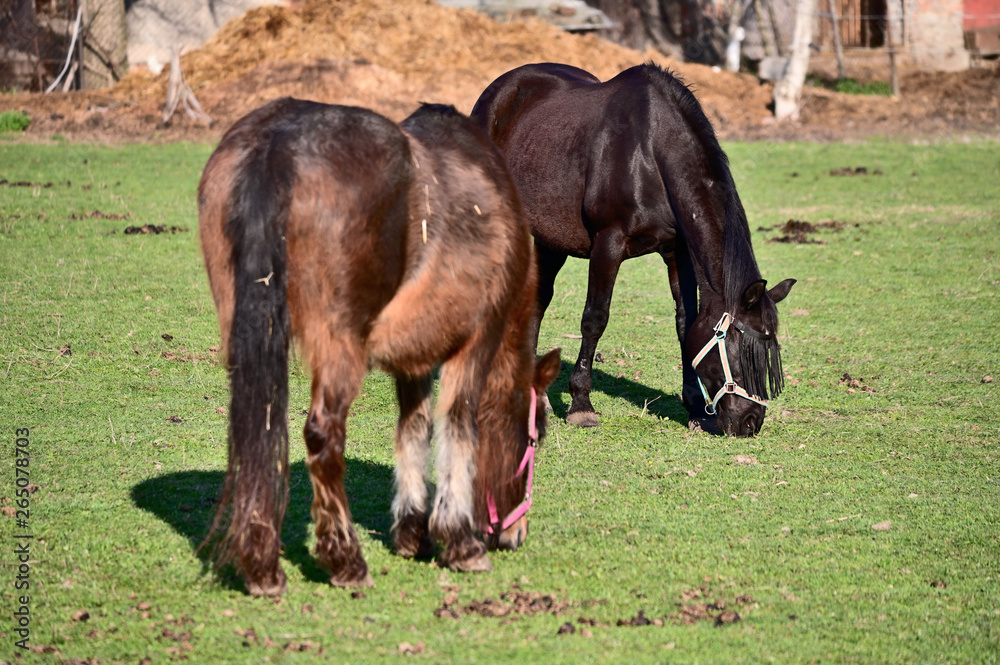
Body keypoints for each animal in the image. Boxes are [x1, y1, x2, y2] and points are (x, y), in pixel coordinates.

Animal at [198, 97, 561, 596]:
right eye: (534, 436)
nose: (515, 533)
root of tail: (278, 144)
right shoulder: (478, 340)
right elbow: (458, 424)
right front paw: (458, 542)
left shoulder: (415, 359)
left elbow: (413, 428)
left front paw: (413, 531)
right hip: (339, 347)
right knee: (323, 435)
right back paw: (345, 560)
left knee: (258, 428)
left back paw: (262, 565)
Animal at [471, 63, 795, 437]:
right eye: (744, 350)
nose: (750, 422)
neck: (650, 154)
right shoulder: (608, 245)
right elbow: (594, 319)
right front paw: (581, 404)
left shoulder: (677, 253)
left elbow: (685, 323)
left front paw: (695, 409)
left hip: (550, 240)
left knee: (537, 301)